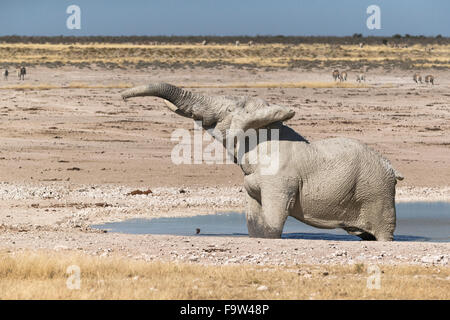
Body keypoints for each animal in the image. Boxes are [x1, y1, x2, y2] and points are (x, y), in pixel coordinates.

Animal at [120, 82, 404, 240]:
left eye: (229, 110)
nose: (121, 97)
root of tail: (392, 170)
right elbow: (255, 222)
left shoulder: (279, 180)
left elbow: (271, 223)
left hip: (376, 191)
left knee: (382, 233)